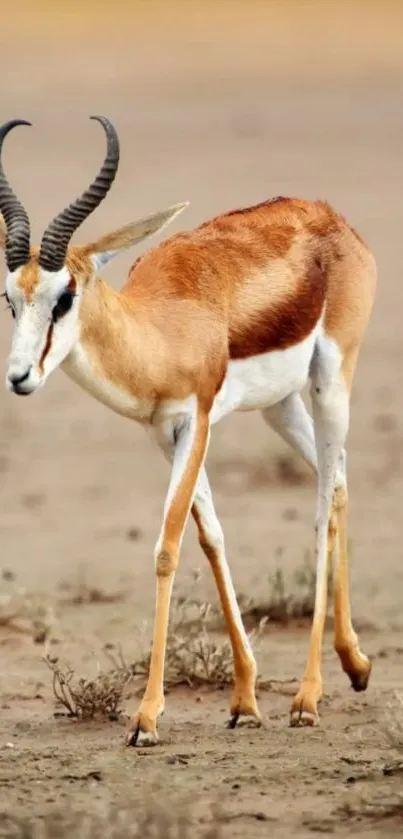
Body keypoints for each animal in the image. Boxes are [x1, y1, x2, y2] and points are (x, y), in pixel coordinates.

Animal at [0, 113, 378, 748]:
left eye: (64, 296)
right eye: (10, 298)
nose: (19, 376)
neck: (163, 332)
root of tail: (328, 215)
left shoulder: (196, 422)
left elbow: (167, 548)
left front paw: (147, 718)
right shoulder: (163, 435)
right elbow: (211, 537)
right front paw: (245, 700)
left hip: (331, 381)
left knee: (324, 501)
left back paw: (308, 697)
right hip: (280, 406)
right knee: (344, 479)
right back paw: (355, 665)